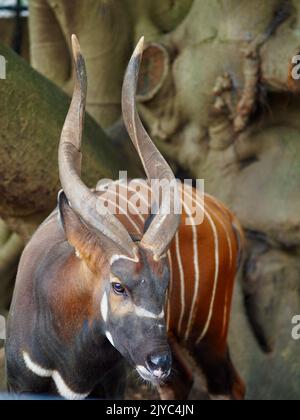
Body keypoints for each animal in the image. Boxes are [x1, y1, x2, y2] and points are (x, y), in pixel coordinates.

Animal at [5, 36, 245, 400]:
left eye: (166, 283)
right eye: (118, 286)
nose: (157, 361)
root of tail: (225, 213)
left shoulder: (113, 384)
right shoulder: (20, 384)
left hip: (207, 335)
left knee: (229, 385)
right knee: (186, 380)